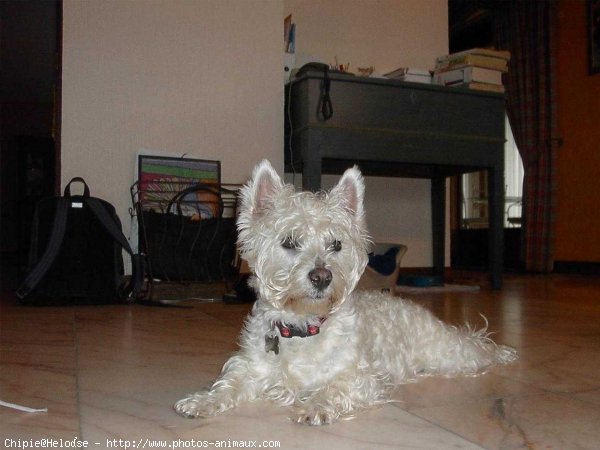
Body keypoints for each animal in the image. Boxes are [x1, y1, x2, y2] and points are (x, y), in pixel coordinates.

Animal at [173, 161, 516, 426]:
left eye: (336, 244)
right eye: (289, 241)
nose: (322, 277)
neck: (304, 326)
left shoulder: (359, 375)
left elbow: (333, 388)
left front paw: (314, 407)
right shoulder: (252, 366)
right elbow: (228, 382)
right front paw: (200, 402)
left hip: (449, 354)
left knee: (476, 345)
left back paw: (504, 353)